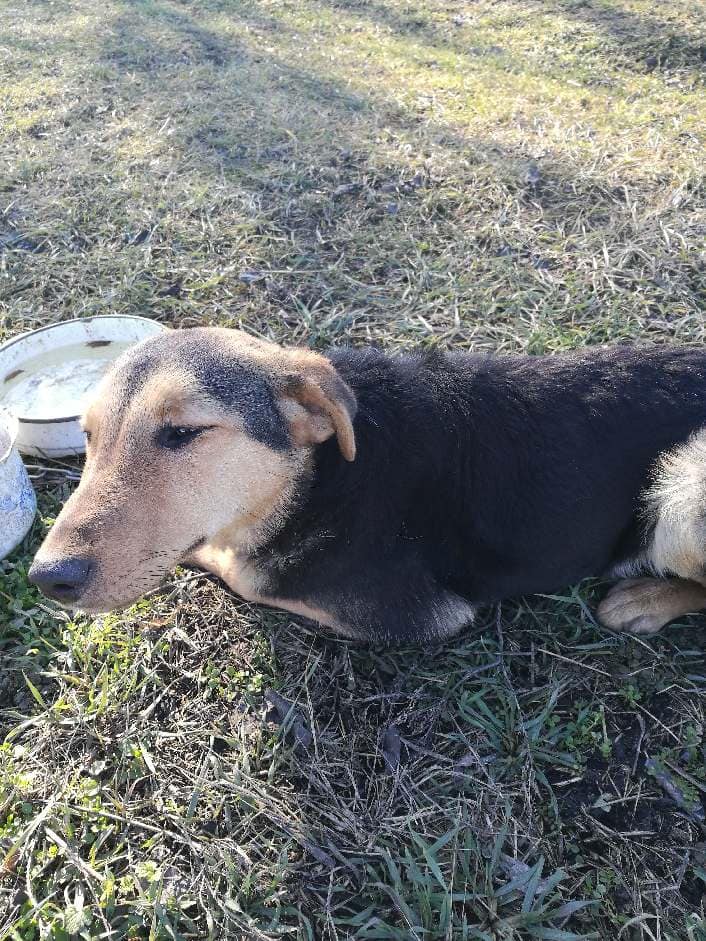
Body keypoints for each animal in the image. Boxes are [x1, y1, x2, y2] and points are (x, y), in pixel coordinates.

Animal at [27, 326, 706, 644]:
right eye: (88, 437)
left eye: (184, 432)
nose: (47, 578)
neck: (322, 475)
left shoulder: (418, 614)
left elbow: (247, 572)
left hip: (682, 485)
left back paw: (646, 598)